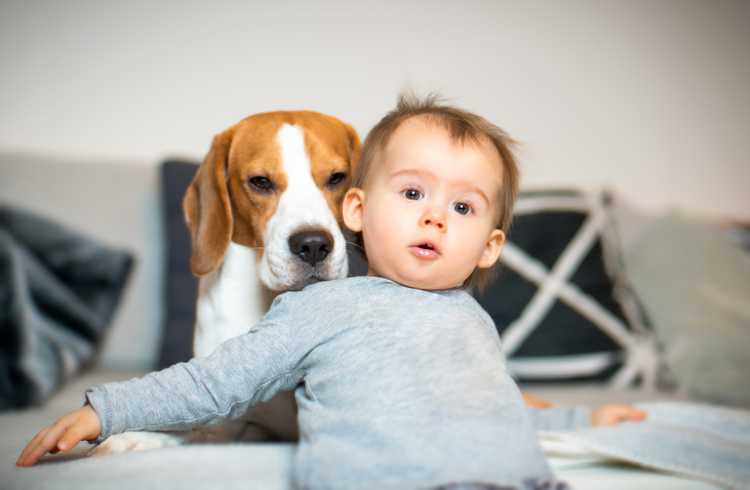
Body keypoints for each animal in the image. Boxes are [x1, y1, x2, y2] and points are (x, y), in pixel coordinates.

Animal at [92, 111, 362, 456]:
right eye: (261, 182)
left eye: (337, 177)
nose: (313, 244)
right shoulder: (233, 425)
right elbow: (183, 427)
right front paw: (132, 438)